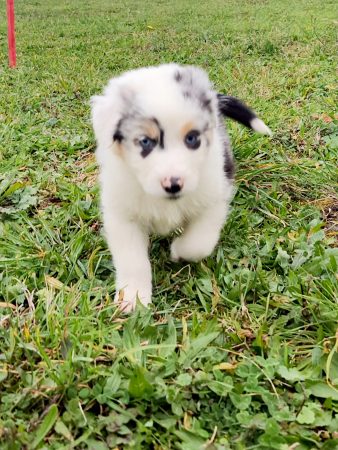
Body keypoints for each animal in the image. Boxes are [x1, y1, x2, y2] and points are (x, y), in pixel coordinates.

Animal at [90, 63, 270, 312]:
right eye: (145, 141)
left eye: (192, 138)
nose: (174, 184)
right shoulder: (122, 216)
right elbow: (133, 260)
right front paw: (134, 297)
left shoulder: (213, 199)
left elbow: (198, 243)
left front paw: (178, 251)